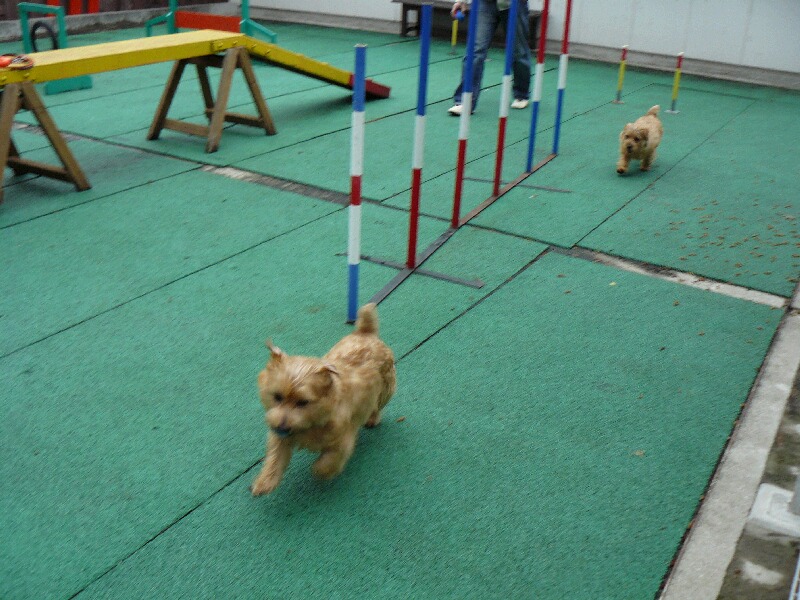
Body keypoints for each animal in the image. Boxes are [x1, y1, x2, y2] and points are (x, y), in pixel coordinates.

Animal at [250, 303, 396, 496]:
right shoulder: (281, 438)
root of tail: (365, 333)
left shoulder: (343, 439)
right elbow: (275, 457)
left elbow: (330, 460)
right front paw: (264, 482)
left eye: (303, 402)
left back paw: (372, 419)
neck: (311, 423)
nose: (282, 426)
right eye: (277, 397)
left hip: (386, 390)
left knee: (377, 405)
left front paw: (320, 470)